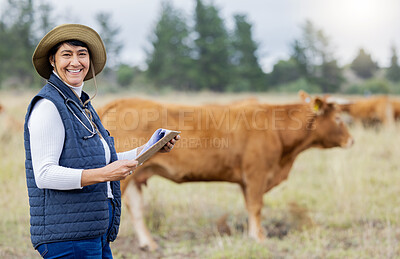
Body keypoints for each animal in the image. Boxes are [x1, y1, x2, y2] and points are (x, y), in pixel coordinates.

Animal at [99, 92, 354, 252]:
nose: (351, 140)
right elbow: (256, 207)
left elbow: (250, 207)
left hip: (135, 175)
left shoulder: (246, 181)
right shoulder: (256, 174)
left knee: (136, 209)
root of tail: (119, 102)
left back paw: (148, 244)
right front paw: (259, 237)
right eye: (338, 118)